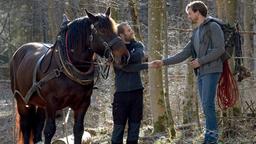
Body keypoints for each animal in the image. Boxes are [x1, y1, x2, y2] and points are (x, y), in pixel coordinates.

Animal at [10, 7, 130, 144]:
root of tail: (19, 51)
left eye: (115, 30)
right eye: (102, 30)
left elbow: (78, 130)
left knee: (37, 127)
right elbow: (49, 130)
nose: (124, 56)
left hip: (40, 103)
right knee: (25, 127)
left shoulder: (83, 103)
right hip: (22, 101)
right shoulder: (51, 104)